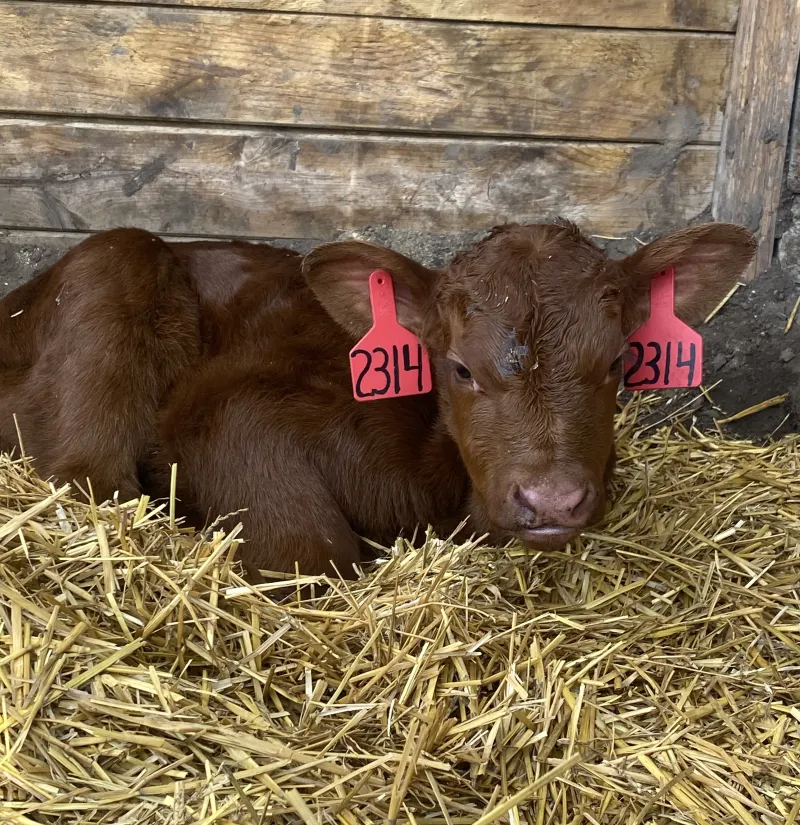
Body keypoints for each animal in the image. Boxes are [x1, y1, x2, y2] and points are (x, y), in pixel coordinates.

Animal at [0, 220, 756, 578]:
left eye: (618, 361)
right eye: (460, 368)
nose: (551, 500)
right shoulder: (229, 415)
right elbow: (312, 553)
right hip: (114, 268)